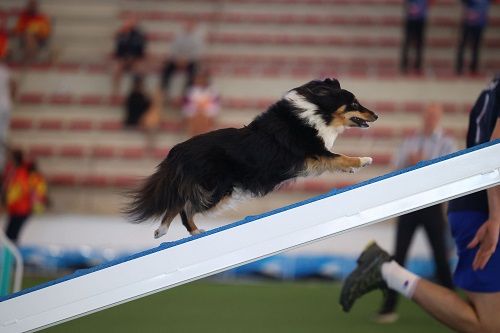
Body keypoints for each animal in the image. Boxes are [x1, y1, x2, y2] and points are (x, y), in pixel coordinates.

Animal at [126, 78, 378, 237]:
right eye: (354, 103)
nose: (376, 115)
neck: (318, 111)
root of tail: (178, 151)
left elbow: (339, 159)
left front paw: (353, 168)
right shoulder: (315, 152)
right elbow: (341, 156)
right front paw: (364, 160)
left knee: (180, 203)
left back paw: (168, 230)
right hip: (217, 189)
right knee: (184, 205)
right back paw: (185, 230)